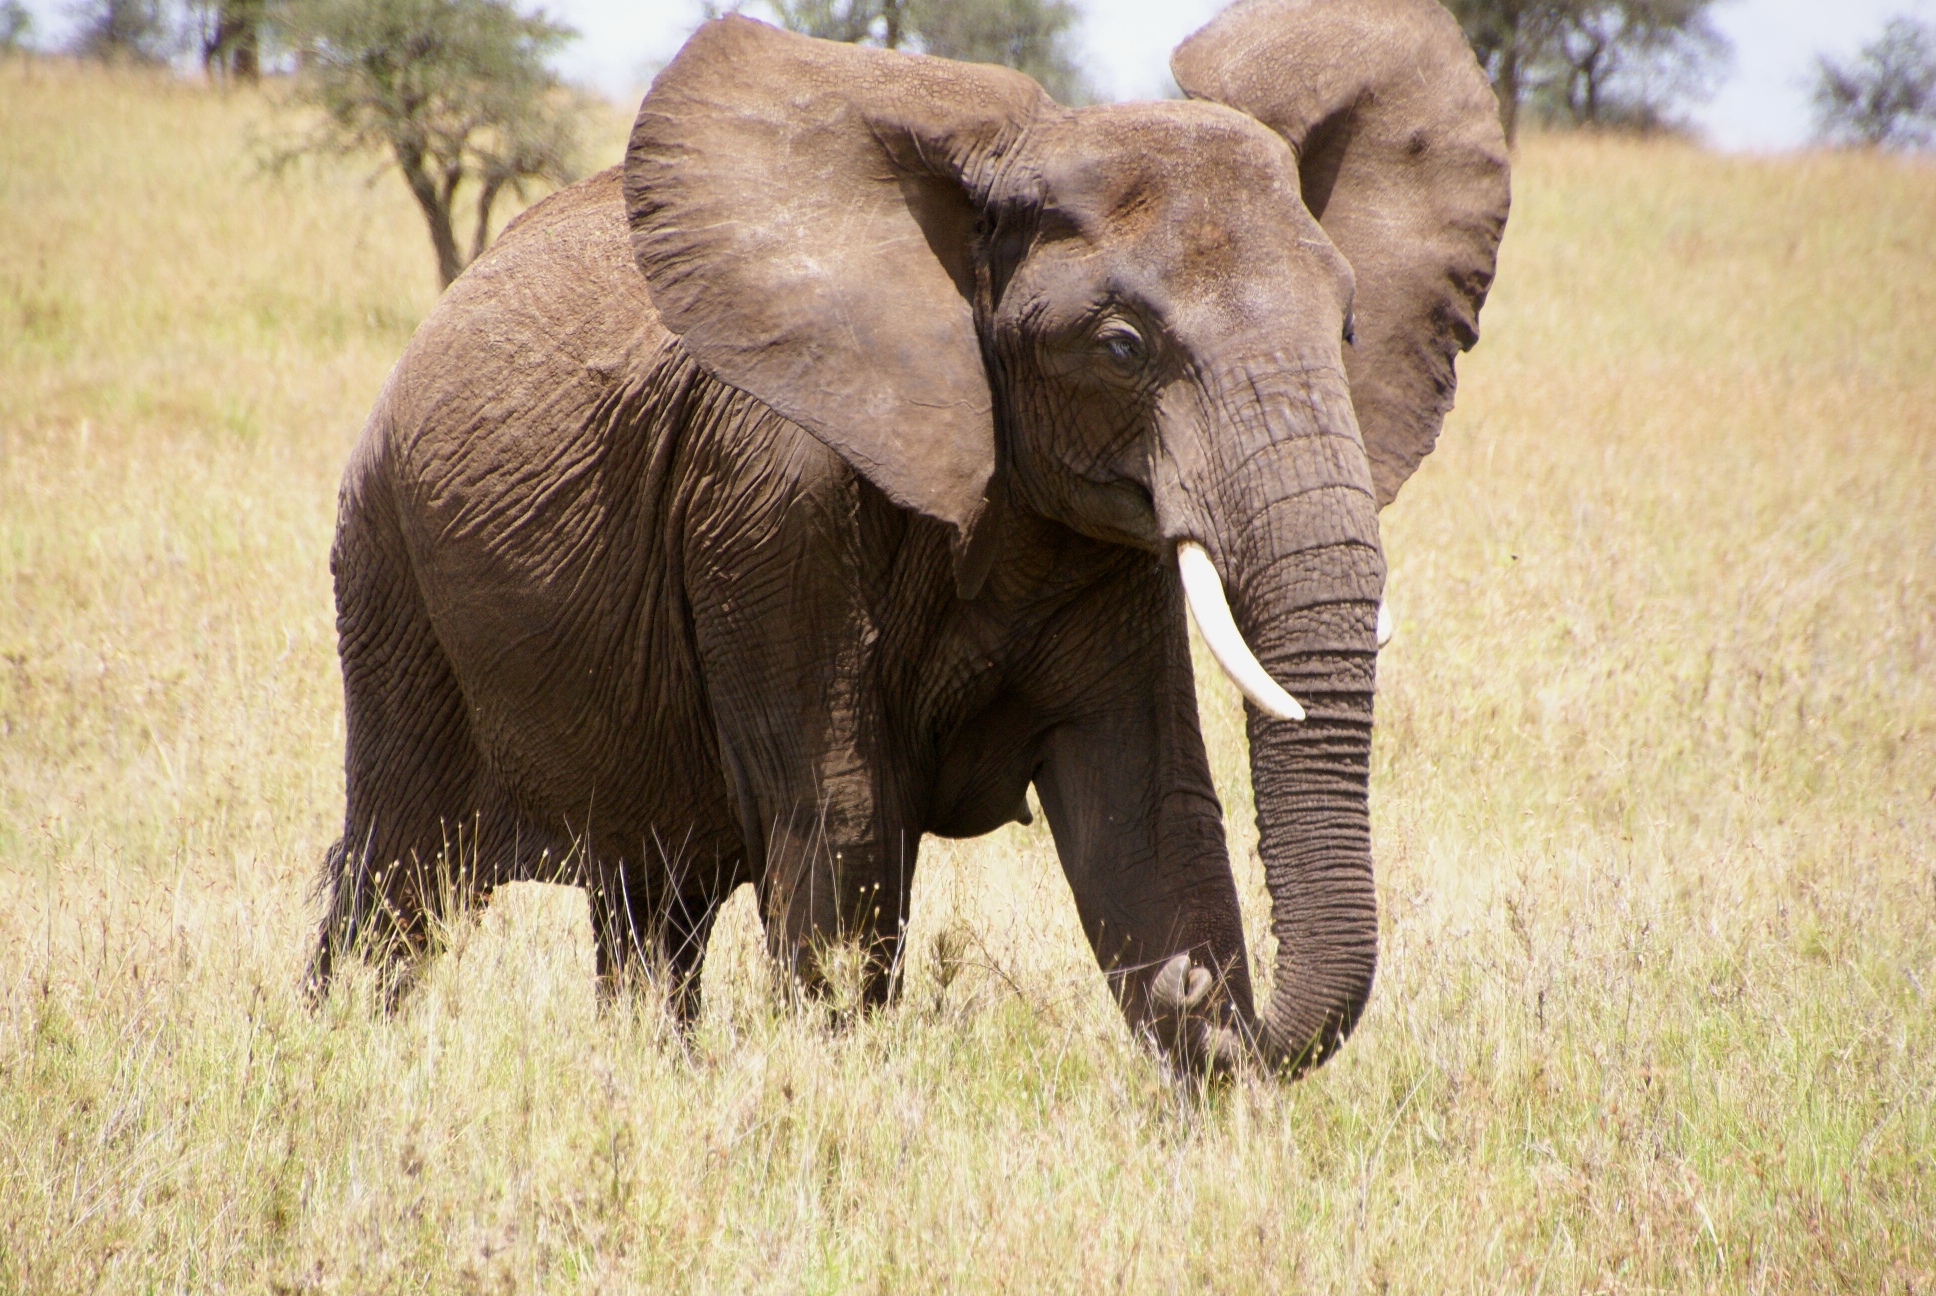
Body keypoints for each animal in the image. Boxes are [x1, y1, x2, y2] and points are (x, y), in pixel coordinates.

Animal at [313, 0, 1510, 1077]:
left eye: (1346, 329)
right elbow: (842, 830)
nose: (1200, 989)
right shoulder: (771, 505)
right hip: (389, 565)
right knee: (394, 882)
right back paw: (338, 1050)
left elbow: (1145, 815)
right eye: (1121, 347)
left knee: (650, 906)